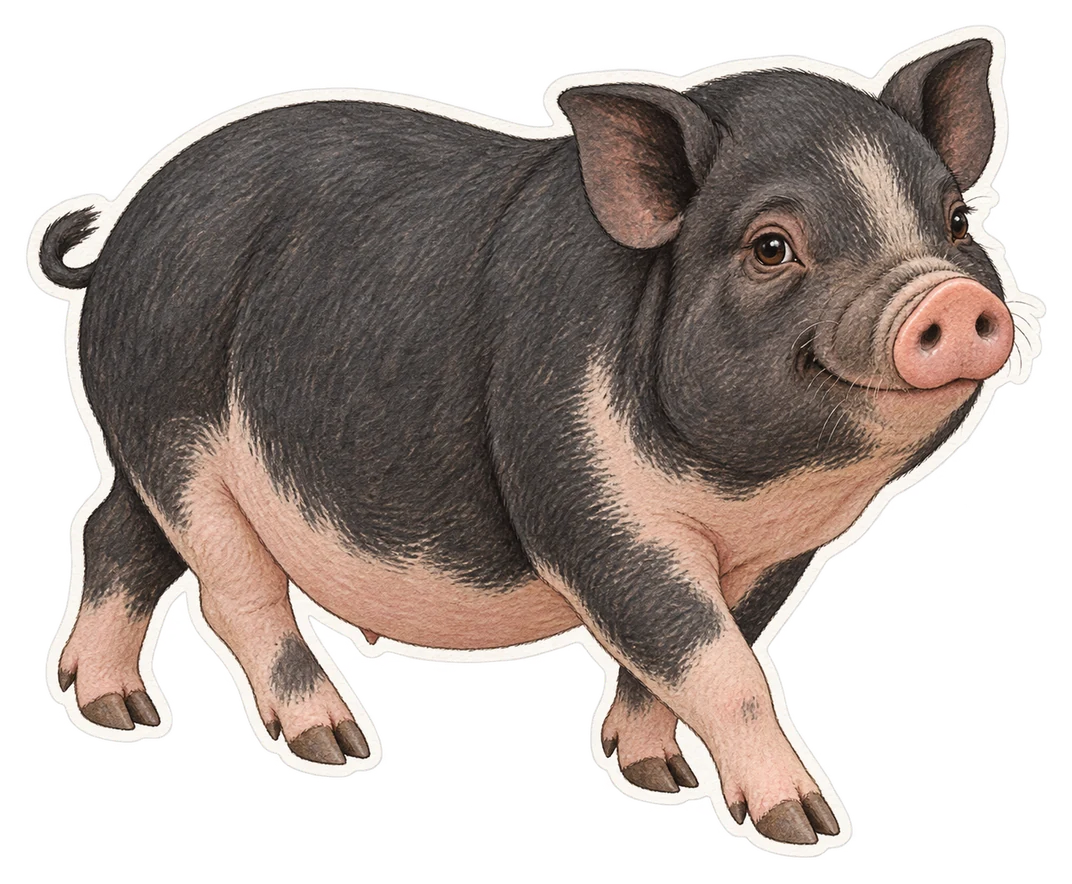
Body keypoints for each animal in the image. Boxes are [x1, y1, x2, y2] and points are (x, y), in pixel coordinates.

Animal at [34, 39, 1021, 847]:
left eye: (956, 223)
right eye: (772, 247)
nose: (946, 298)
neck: (740, 488)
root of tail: (120, 238)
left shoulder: (775, 553)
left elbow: (701, 650)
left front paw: (652, 775)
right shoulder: (585, 505)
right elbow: (716, 661)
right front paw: (805, 826)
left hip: (147, 448)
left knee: (116, 534)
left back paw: (115, 710)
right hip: (174, 424)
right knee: (232, 593)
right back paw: (334, 744)